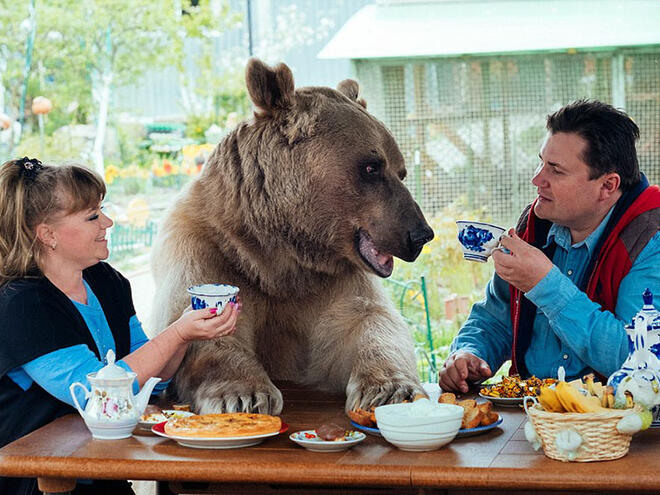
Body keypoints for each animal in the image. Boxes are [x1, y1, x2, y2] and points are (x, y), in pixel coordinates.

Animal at [152, 57, 436, 414]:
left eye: (401, 171)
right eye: (372, 166)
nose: (420, 234)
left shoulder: (331, 282)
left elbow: (368, 322)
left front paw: (390, 389)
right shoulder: (208, 250)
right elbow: (204, 328)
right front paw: (244, 395)